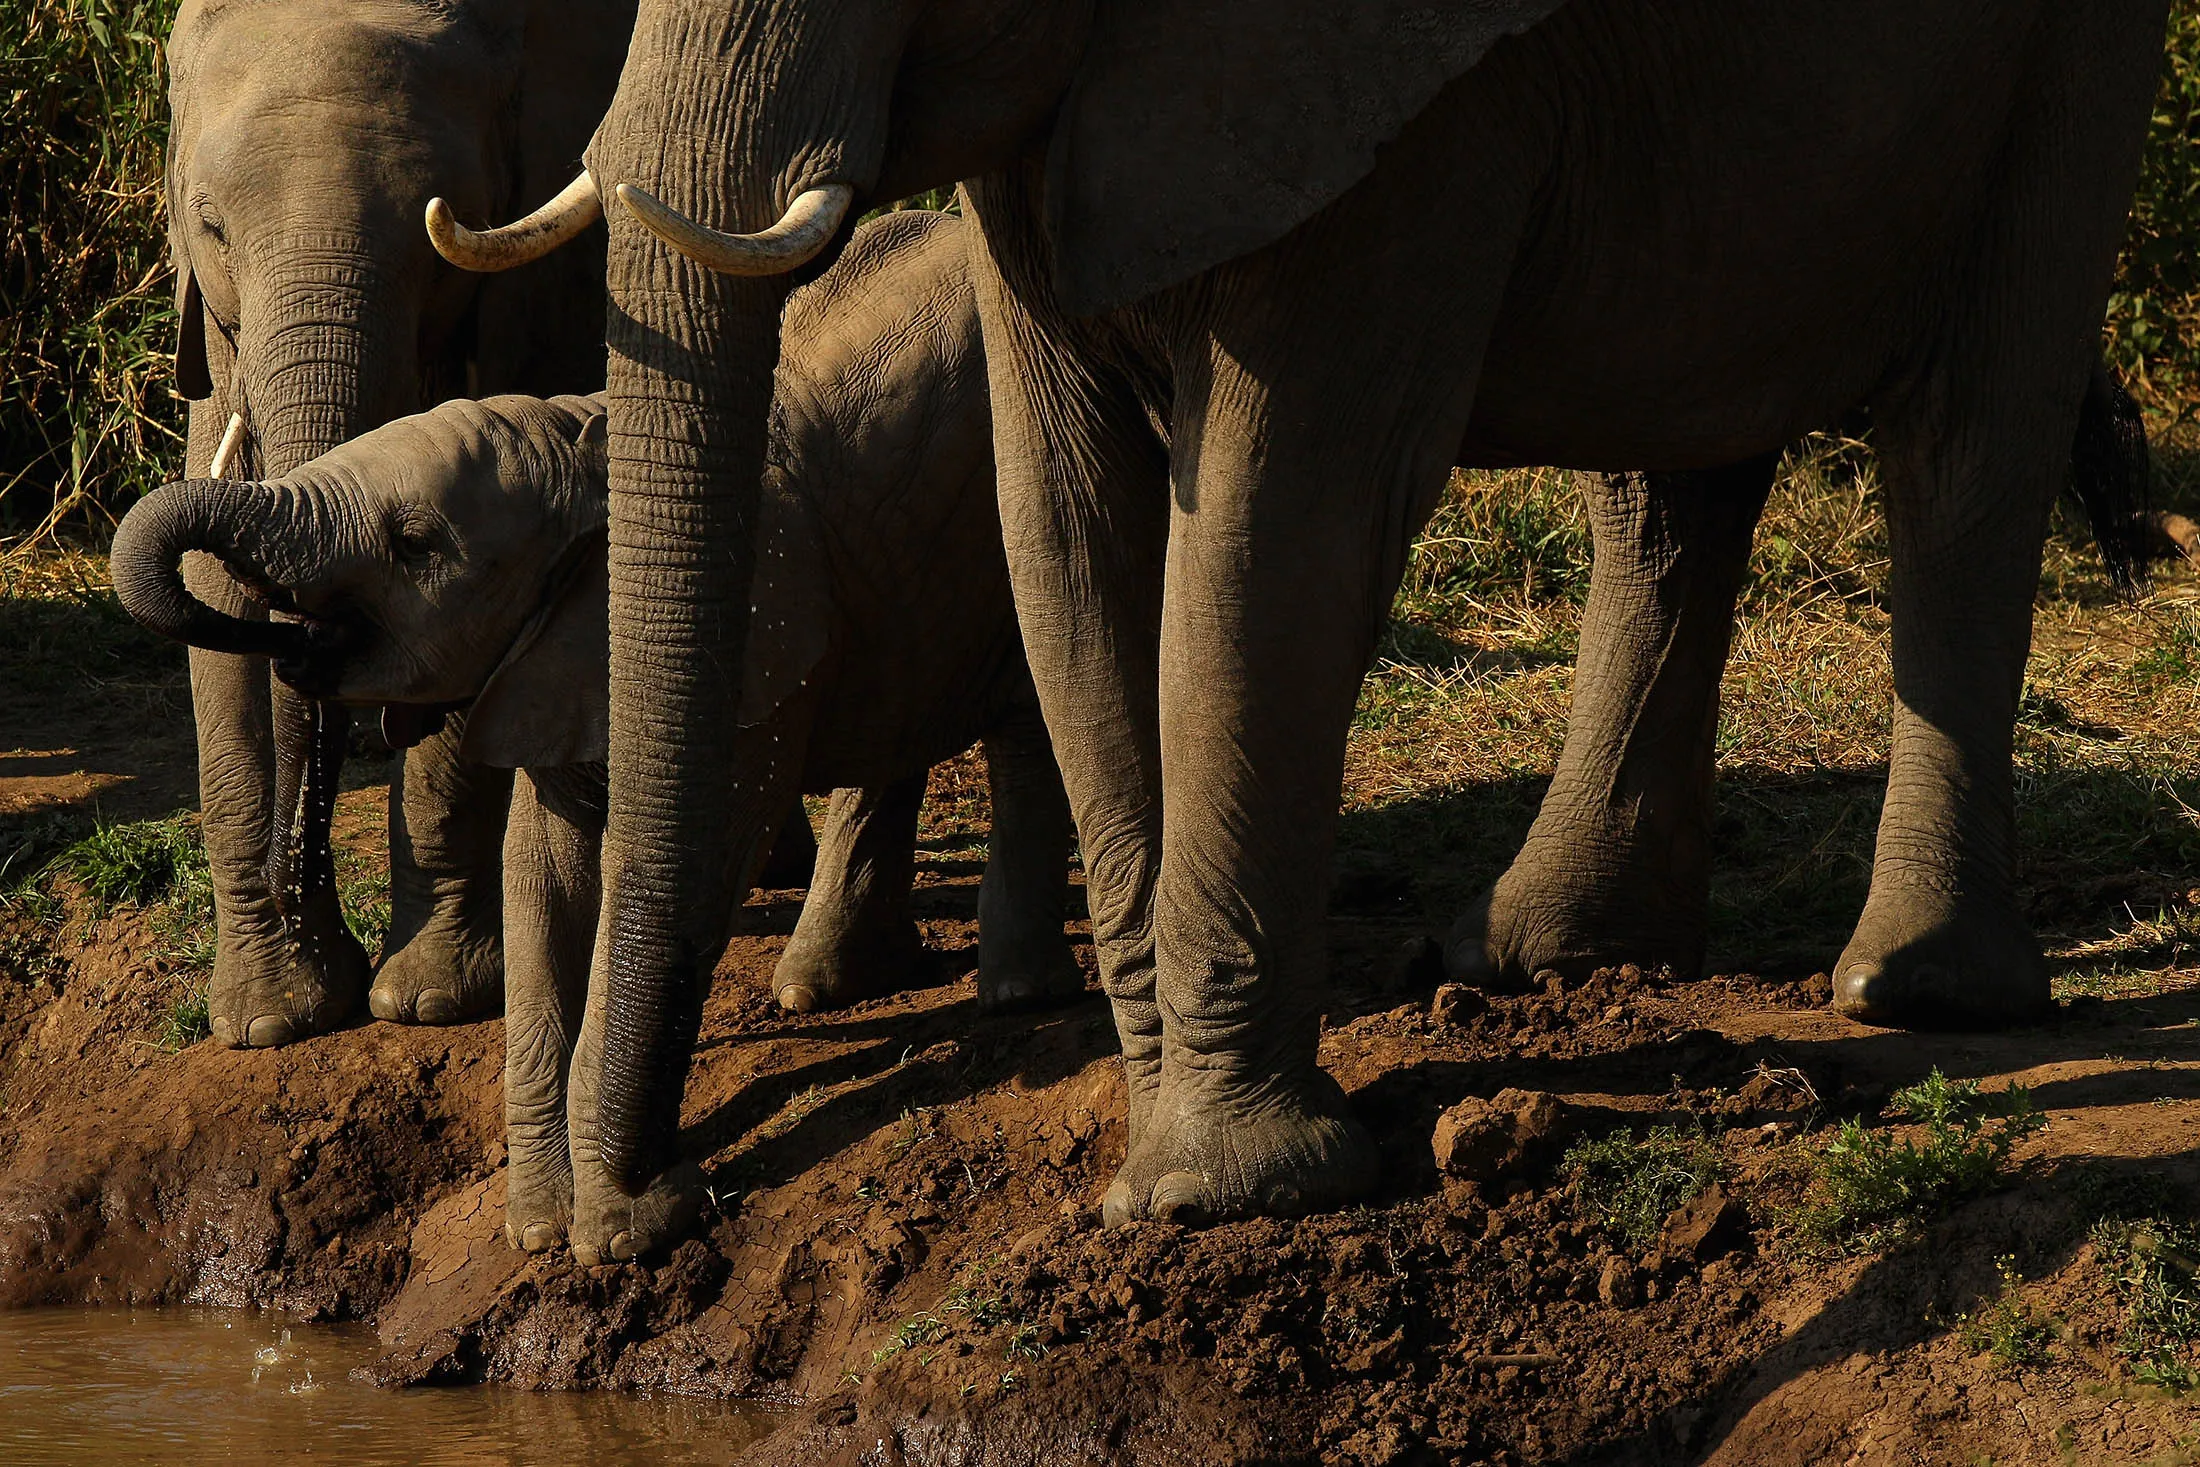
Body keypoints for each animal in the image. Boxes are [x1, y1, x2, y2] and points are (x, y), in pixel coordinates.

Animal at [114, 209, 1081, 1257]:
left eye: (414, 544)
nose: (290, 634)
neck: (591, 457)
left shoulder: (746, 641)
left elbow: (676, 870)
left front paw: (625, 1231)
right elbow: (543, 871)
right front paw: (542, 1229)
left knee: (1027, 719)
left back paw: (1020, 994)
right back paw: (823, 987)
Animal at [159, 0, 636, 1046]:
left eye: (442, 234)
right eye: (210, 227)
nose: (298, 882)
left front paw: (424, 1002)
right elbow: (212, 607)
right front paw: (269, 1022)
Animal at [438, 0, 2170, 1242]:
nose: (658, 1211)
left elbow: (1277, 519)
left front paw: (1224, 1190)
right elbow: (1063, 525)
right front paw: (1161, 1135)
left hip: (2070, 53)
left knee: (1972, 443)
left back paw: (1917, 991)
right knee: (1674, 468)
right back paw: (1549, 951)